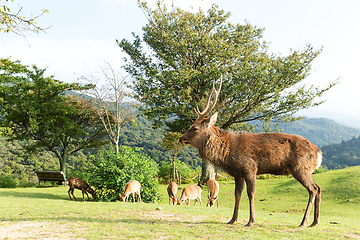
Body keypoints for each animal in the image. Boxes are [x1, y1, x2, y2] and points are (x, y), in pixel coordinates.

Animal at [179, 77, 322, 227]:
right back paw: (314, 222)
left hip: (301, 168)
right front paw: (232, 219)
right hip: (304, 170)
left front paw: (251, 221)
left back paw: (304, 221)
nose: (181, 138)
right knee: (318, 188)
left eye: (194, 128)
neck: (228, 153)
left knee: (313, 189)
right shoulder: (238, 174)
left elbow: (251, 193)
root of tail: (319, 153)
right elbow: (237, 194)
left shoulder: (250, 168)